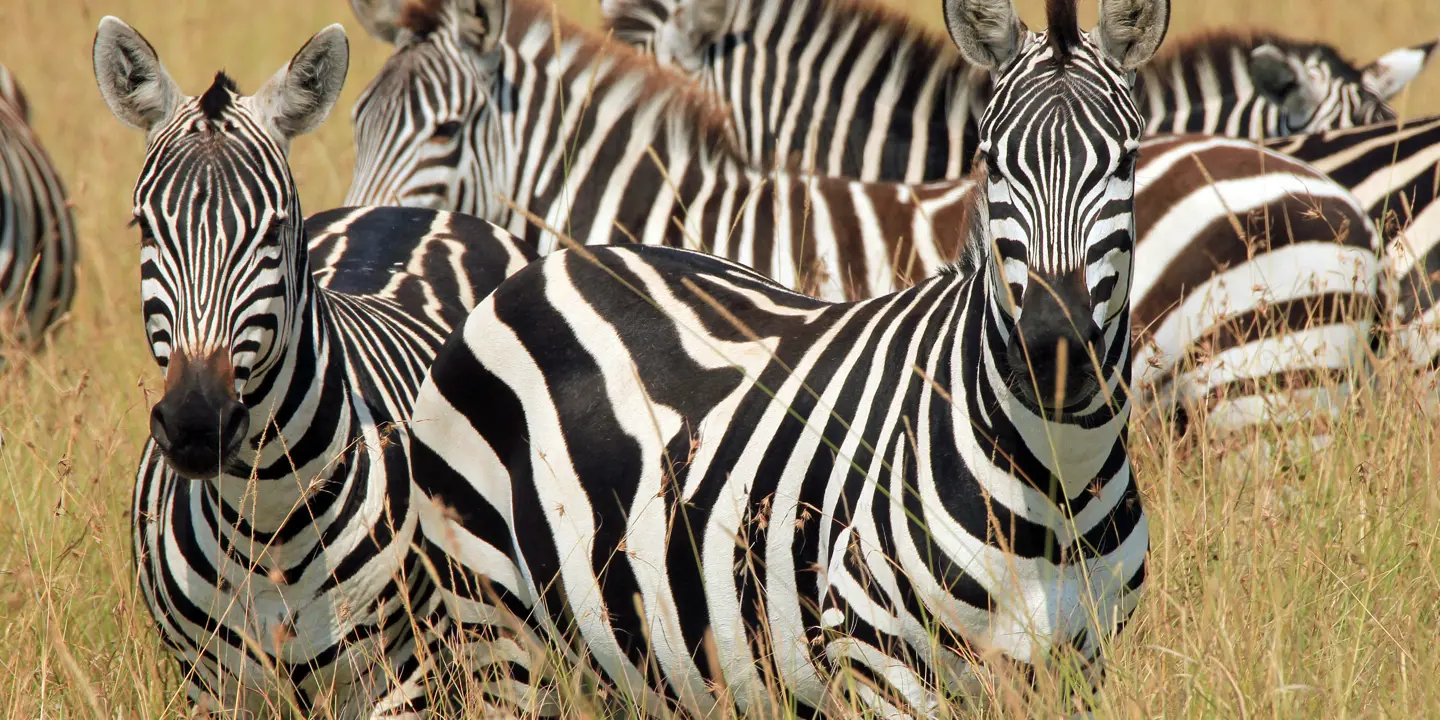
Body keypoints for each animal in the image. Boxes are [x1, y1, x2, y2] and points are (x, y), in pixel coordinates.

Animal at [92, 16, 541, 714]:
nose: (196, 424)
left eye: (274, 230)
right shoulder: (212, 689)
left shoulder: (398, 683)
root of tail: (407, 211)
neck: (266, 523)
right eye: (144, 228)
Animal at [400, 0, 1163, 711]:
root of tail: (541, 267)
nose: (1052, 351)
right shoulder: (881, 664)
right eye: (991, 162)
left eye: (1127, 162)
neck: (1055, 483)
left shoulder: (1078, 670)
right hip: (491, 626)